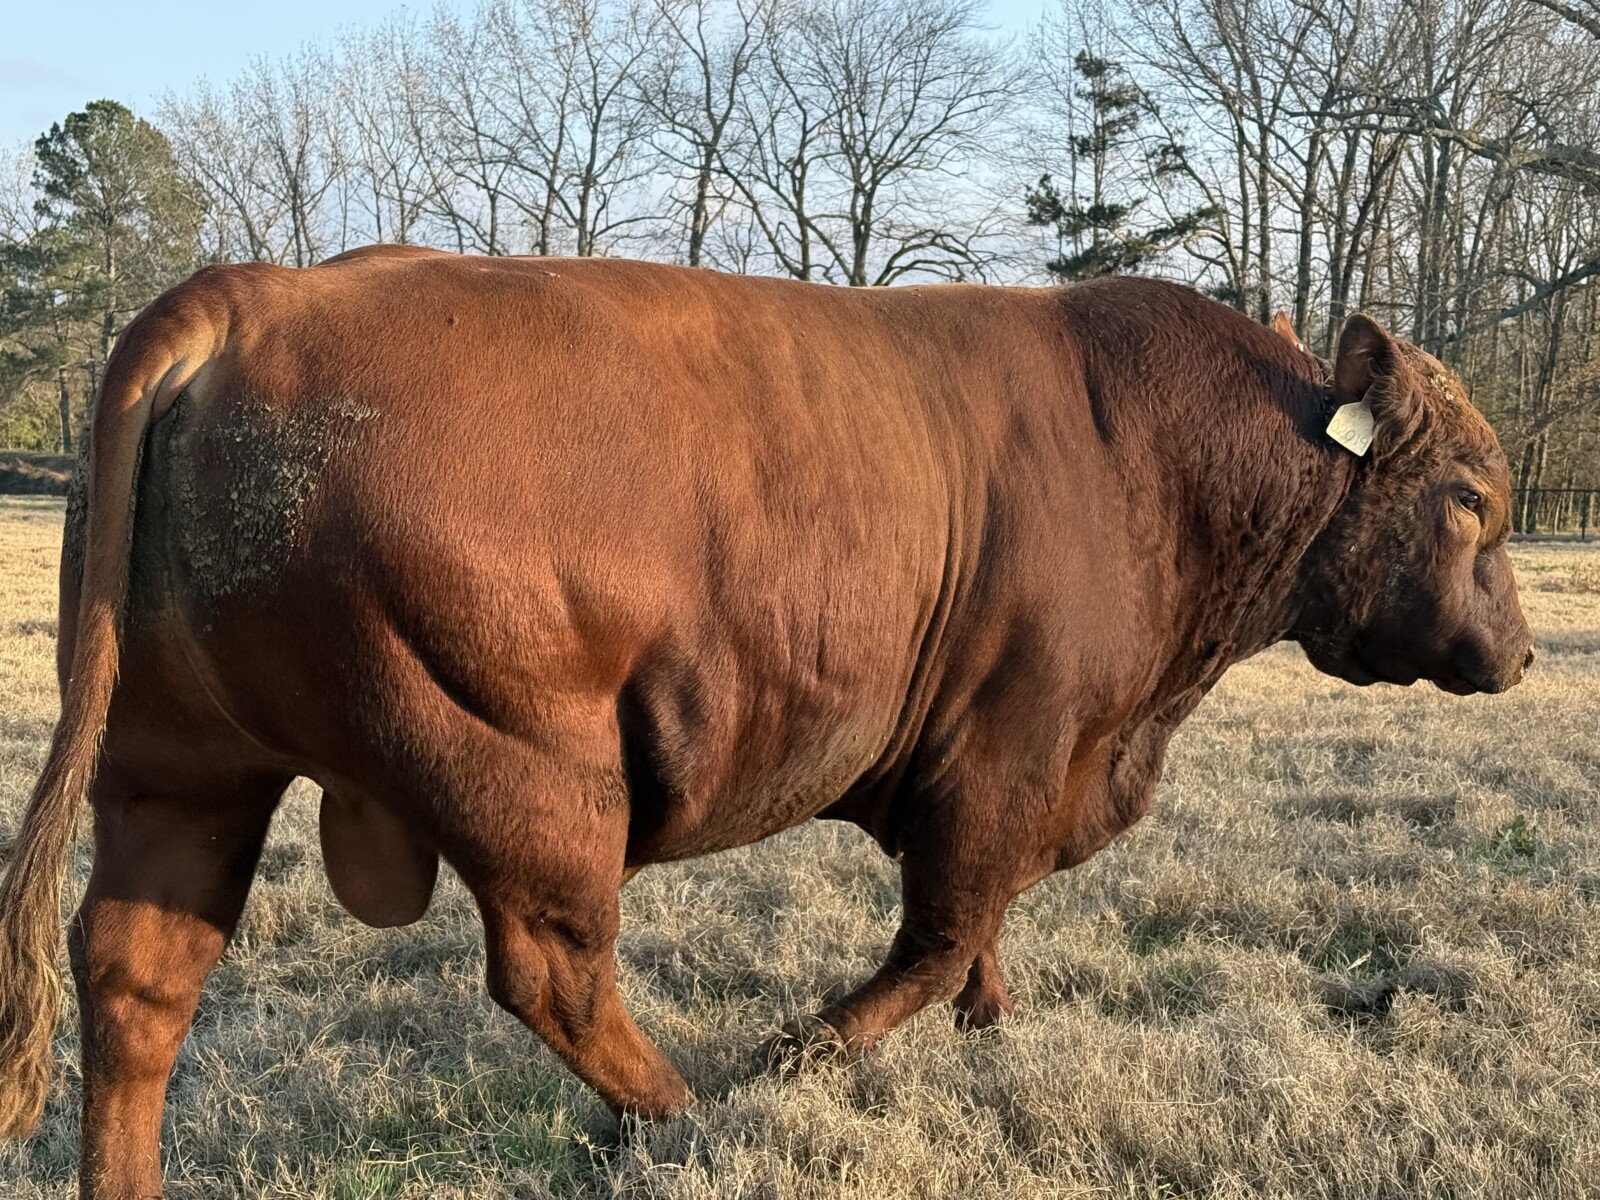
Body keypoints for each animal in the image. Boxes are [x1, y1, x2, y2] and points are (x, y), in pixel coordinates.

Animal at [0, 247, 1532, 1198]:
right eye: (1468, 497)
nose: (1519, 654)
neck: (1156, 460)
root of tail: (260, 295)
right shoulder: (1006, 754)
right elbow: (941, 932)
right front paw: (801, 1056)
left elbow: (981, 936)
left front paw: (987, 1026)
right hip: (530, 772)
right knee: (552, 971)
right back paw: (688, 1113)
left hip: (182, 772)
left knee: (136, 980)